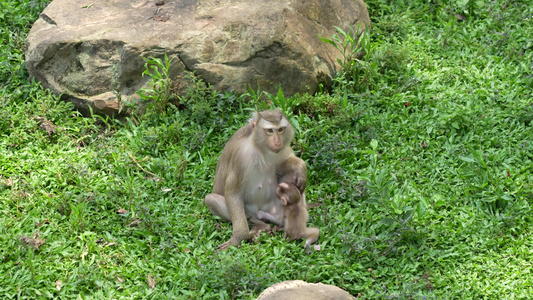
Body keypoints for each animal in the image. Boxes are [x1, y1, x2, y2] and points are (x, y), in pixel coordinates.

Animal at [205, 109, 306, 250]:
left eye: (280, 129)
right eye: (270, 131)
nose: (277, 142)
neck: (261, 149)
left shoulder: (281, 150)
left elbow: (283, 165)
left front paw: (300, 167)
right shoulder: (239, 157)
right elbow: (233, 194)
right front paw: (239, 238)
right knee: (211, 199)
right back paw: (260, 225)